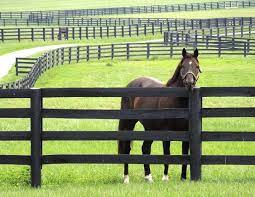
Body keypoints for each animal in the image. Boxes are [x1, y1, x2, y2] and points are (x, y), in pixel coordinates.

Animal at [117, 47, 201, 183]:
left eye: (197, 66)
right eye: (182, 66)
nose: (189, 82)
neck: (177, 100)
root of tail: (132, 83)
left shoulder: (185, 133)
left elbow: (184, 153)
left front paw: (183, 178)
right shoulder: (166, 132)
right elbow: (167, 153)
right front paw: (165, 178)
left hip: (150, 128)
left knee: (145, 148)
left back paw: (148, 177)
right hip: (128, 123)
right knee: (126, 149)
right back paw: (126, 178)